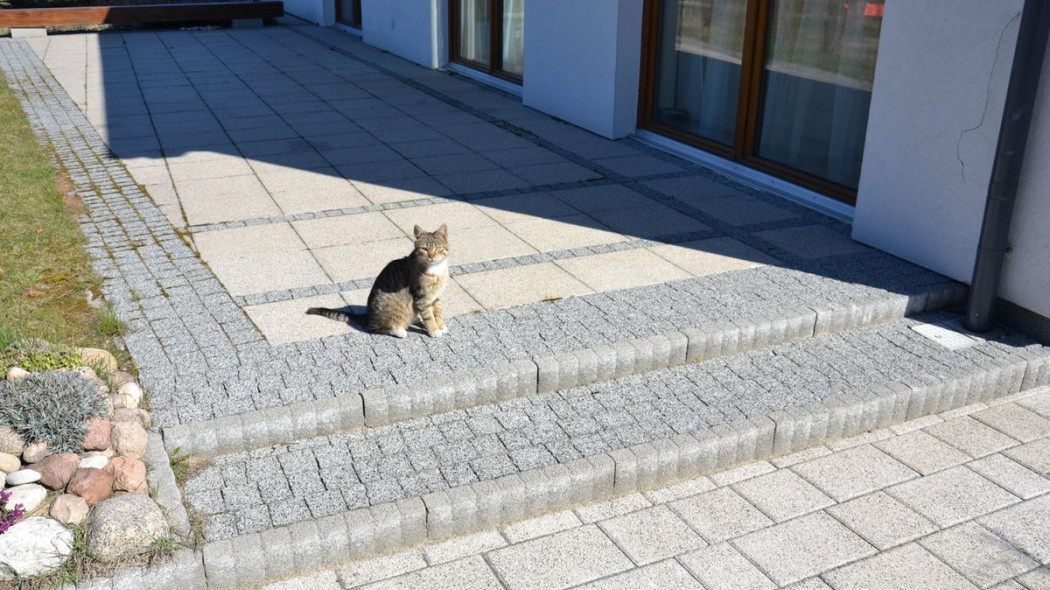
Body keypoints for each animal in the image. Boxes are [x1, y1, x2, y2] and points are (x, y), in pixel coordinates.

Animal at [306, 223, 449, 338]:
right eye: (424, 249)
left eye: (438, 248)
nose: (431, 256)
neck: (435, 269)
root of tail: (368, 315)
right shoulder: (421, 297)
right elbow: (429, 316)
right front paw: (434, 330)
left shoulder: (435, 297)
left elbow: (438, 311)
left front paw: (440, 326)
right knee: (375, 328)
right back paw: (399, 330)